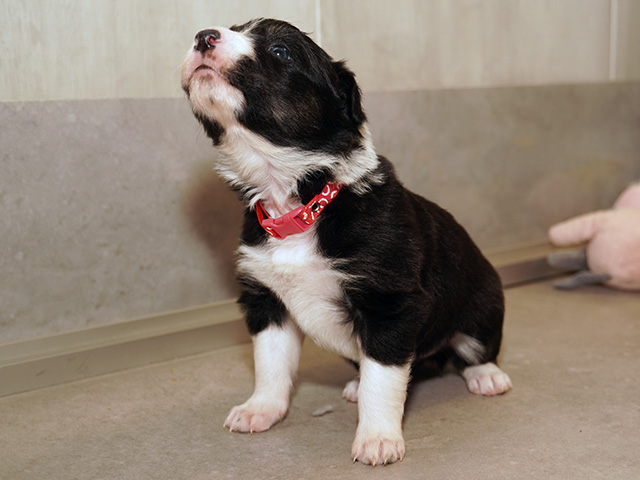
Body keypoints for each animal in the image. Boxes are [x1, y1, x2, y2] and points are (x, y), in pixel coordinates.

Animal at [181, 18, 512, 466]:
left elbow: (383, 379)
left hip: (483, 302)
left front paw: (378, 438)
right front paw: (261, 409)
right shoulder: (267, 300)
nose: (203, 36)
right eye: (232, 28)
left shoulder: (392, 304)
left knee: (474, 347)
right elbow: (270, 364)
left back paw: (487, 375)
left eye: (281, 51)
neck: (301, 203)